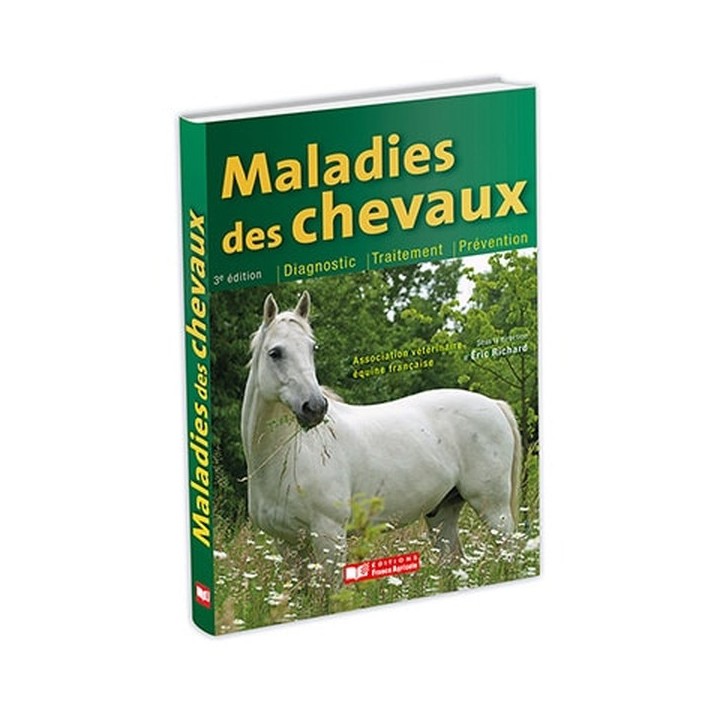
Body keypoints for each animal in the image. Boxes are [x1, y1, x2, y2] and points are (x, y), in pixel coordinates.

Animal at [241, 291, 522, 577]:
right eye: (275, 353)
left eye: (312, 348)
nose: (315, 407)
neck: (289, 456)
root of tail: (494, 404)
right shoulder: (288, 545)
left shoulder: (329, 537)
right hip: (443, 514)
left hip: (494, 510)